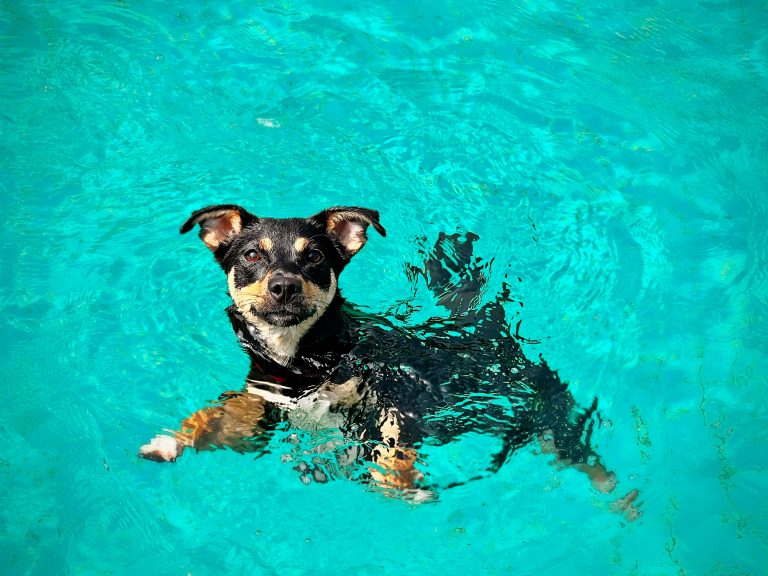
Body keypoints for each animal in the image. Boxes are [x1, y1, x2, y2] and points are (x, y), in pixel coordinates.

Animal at [141, 205, 640, 516]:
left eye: (315, 256)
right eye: (250, 254)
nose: (283, 285)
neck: (303, 357)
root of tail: (486, 329)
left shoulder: (397, 394)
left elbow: (394, 446)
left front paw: (398, 482)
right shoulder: (261, 405)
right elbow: (210, 417)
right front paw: (170, 441)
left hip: (548, 415)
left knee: (577, 451)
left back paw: (620, 497)